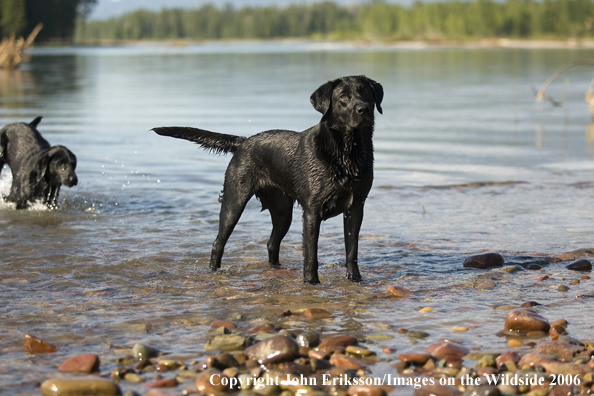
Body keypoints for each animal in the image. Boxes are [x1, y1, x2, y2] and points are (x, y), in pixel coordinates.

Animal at [155, 75, 382, 284]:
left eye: (366, 93)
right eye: (342, 96)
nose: (363, 109)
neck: (348, 151)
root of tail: (243, 142)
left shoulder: (356, 207)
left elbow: (352, 250)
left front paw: (355, 279)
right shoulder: (312, 210)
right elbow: (311, 254)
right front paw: (311, 283)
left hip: (283, 212)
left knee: (272, 243)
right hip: (233, 202)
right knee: (217, 243)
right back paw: (214, 271)